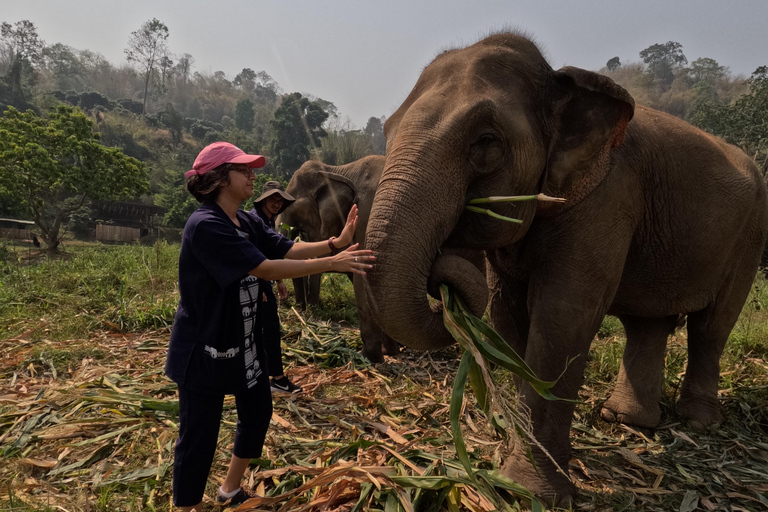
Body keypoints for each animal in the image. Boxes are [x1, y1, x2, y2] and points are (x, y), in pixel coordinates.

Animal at [276, 154, 400, 362]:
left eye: (292, 209)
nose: (299, 308)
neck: (337, 170)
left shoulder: (367, 214)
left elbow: (364, 274)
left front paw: (367, 357)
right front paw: (389, 351)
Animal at [364, 31, 768, 504]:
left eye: (486, 142)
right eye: (388, 131)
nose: (439, 273)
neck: (560, 82)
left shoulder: (608, 196)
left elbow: (562, 316)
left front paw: (530, 491)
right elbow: (508, 317)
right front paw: (520, 460)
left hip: (750, 233)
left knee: (711, 326)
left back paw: (698, 420)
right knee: (647, 325)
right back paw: (623, 420)